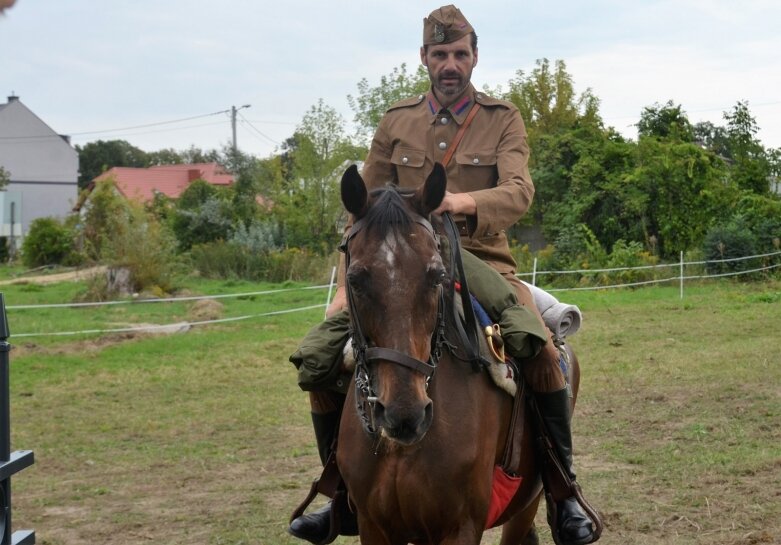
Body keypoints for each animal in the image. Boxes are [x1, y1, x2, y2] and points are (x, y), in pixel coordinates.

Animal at [336, 165, 580, 544]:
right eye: (355, 279)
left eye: (437, 275)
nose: (405, 414)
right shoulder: (372, 525)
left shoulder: (460, 526)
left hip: (526, 504)